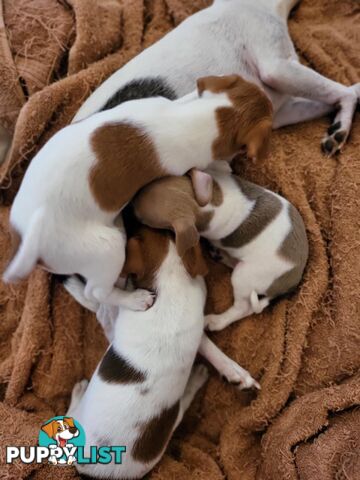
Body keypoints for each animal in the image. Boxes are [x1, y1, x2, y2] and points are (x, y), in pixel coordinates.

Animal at [2, 74, 272, 312]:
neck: (194, 118)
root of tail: (29, 242)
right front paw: (221, 165)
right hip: (107, 248)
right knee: (95, 292)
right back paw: (134, 299)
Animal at [134, 168, 308, 330]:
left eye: (145, 221)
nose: (130, 206)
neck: (208, 205)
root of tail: (290, 284)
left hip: (243, 276)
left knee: (243, 308)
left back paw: (216, 321)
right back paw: (220, 255)